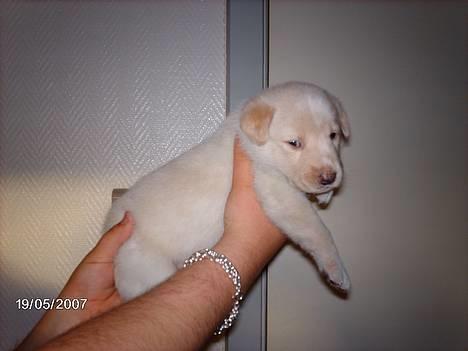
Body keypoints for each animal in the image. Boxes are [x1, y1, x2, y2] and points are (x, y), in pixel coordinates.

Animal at [107, 81, 352, 302]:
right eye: (294, 143)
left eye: (333, 135)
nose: (329, 178)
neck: (255, 146)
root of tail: (108, 222)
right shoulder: (278, 192)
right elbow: (317, 230)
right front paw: (337, 270)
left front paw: (325, 194)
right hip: (148, 268)